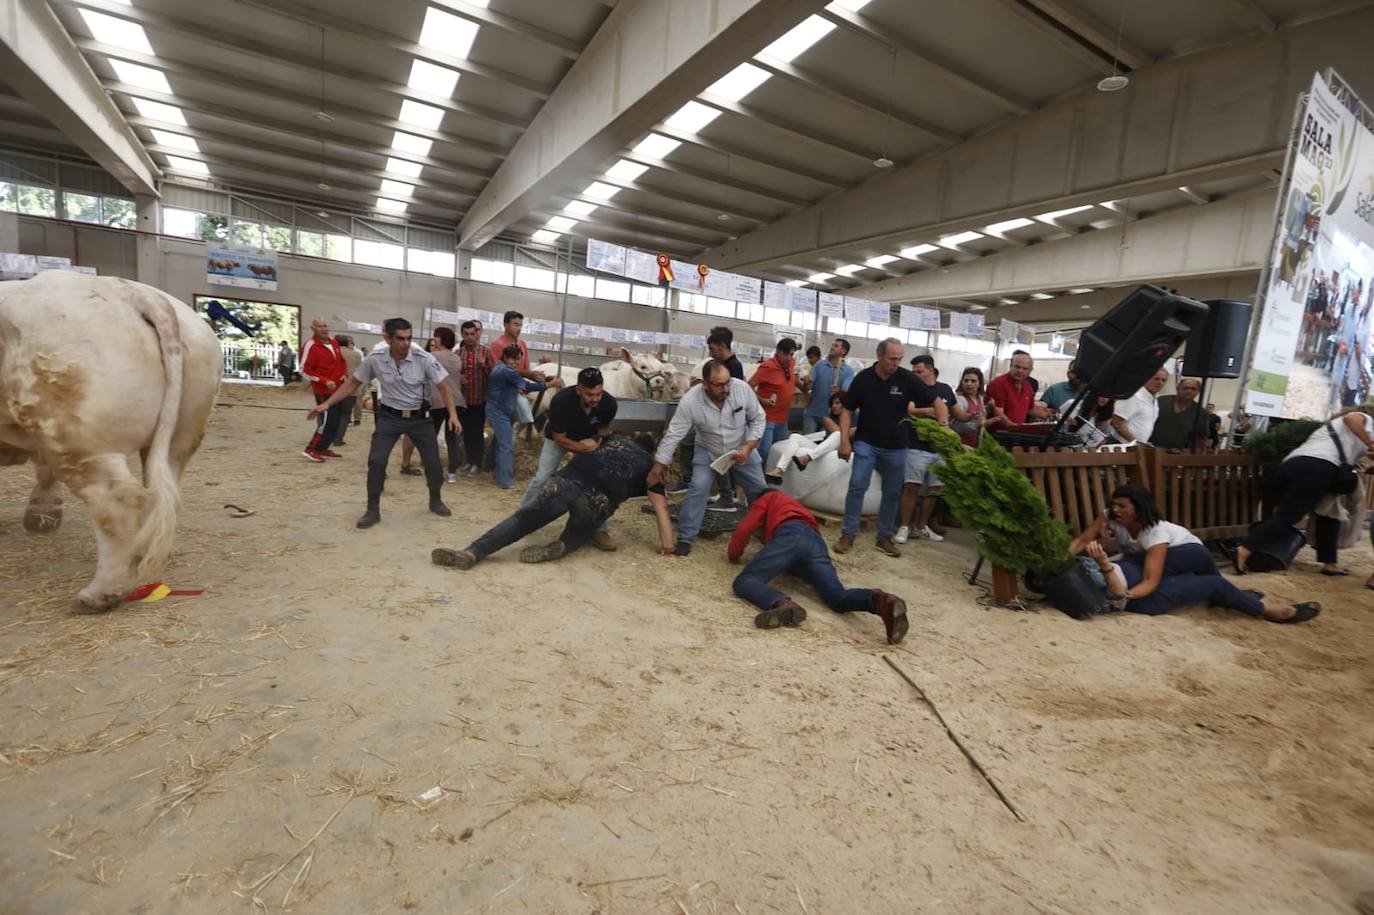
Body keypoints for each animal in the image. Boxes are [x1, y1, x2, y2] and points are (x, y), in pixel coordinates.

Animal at [0, 274, 219, 610]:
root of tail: (130, 291)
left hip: (74, 433)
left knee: (115, 500)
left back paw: (100, 594)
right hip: (182, 428)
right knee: (159, 490)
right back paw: (142, 553)